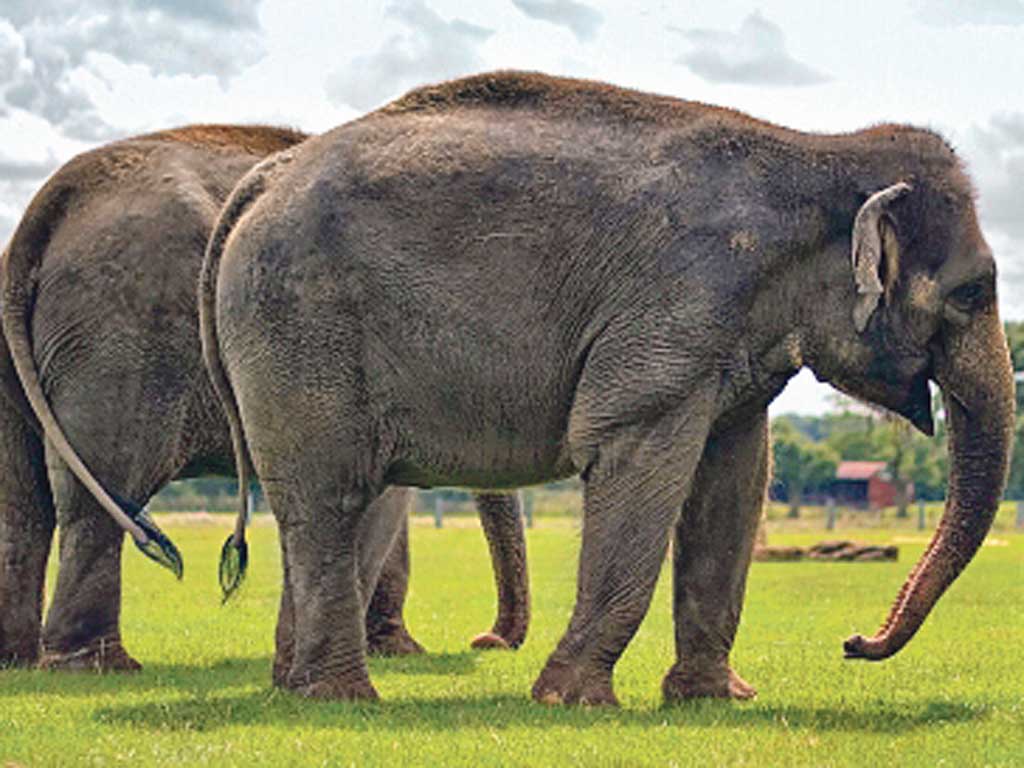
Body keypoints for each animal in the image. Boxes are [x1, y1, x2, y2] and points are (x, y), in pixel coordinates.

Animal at [0, 124, 529, 671]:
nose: (485, 640)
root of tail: (46, 210)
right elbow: (383, 499)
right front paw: (398, 652)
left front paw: (390, 650)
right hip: (122, 341)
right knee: (99, 496)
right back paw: (102, 666)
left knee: (24, 506)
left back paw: (19, 660)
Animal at [196, 70, 1013, 704]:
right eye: (974, 292)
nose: (853, 642)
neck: (819, 149)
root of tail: (265, 178)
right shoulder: (673, 311)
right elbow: (634, 454)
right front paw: (571, 700)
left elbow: (733, 477)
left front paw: (715, 699)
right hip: (300, 328)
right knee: (330, 496)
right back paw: (342, 696)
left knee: (327, 502)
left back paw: (297, 688)